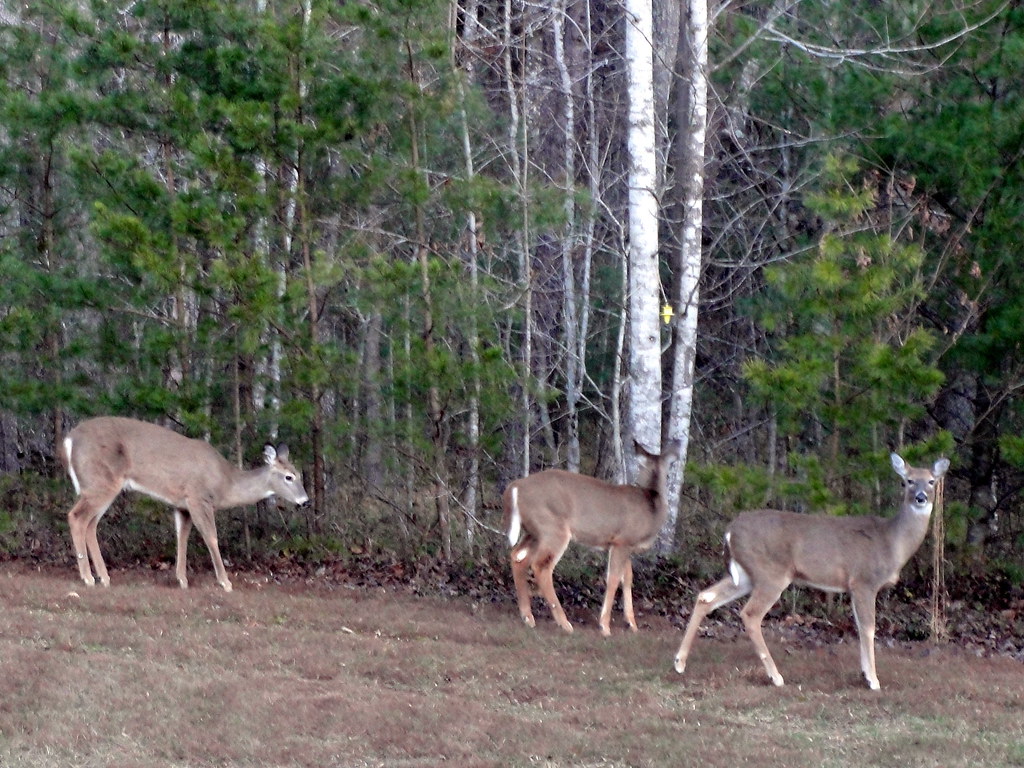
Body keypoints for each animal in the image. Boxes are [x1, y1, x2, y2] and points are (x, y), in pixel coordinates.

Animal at [62, 416, 309, 592]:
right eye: (289, 477)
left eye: (299, 473)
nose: (305, 501)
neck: (226, 483)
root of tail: (69, 440)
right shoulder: (198, 497)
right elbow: (211, 537)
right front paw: (225, 582)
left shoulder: (182, 505)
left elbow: (182, 537)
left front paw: (181, 579)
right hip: (100, 482)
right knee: (76, 517)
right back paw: (88, 577)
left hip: (100, 486)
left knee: (91, 524)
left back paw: (103, 577)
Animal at [502, 441, 680, 636]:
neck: (651, 506)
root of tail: (515, 487)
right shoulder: (622, 540)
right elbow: (613, 578)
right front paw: (605, 626)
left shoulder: (623, 545)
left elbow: (627, 578)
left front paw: (632, 624)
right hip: (553, 529)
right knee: (541, 566)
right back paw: (564, 623)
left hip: (533, 532)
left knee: (518, 557)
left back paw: (527, 616)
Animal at [673, 452, 950, 690]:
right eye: (908, 481)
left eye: (931, 481)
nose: (921, 497)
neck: (892, 542)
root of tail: (730, 531)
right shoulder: (864, 581)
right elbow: (869, 627)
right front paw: (873, 680)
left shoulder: (853, 587)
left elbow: (859, 626)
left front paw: (864, 673)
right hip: (771, 573)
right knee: (750, 614)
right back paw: (776, 676)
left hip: (745, 575)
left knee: (705, 596)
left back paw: (679, 662)